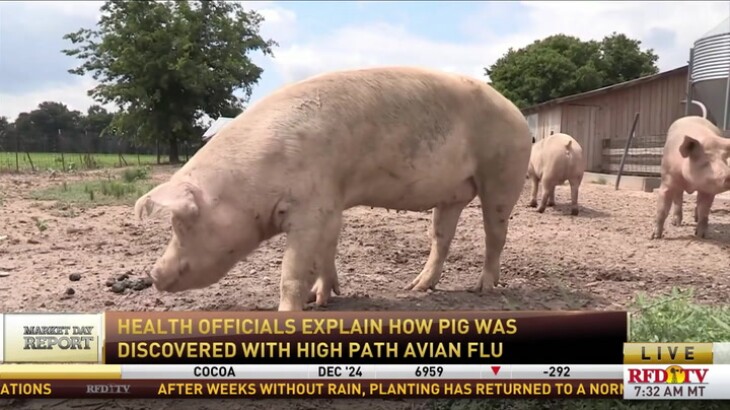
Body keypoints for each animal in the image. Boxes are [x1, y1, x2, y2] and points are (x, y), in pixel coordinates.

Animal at [134, 66, 532, 311]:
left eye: (182, 224)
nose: (153, 275)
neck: (252, 181)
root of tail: (518, 115)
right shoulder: (331, 206)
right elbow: (325, 255)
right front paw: (322, 299)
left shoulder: (312, 207)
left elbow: (292, 271)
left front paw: (289, 312)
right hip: (451, 195)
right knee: (441, 238)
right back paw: (415, 288)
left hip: (502, 174)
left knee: (496, 235)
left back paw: (482, 288)